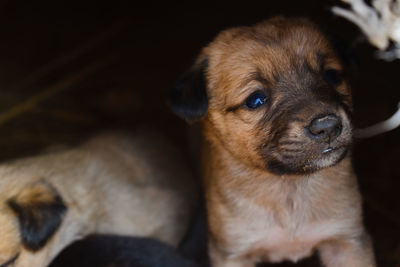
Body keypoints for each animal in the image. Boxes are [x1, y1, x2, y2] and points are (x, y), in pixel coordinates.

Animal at [170, 17, 376, 267]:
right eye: (256, 99)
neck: (287, 186)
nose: (328, 126)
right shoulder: (234, 253)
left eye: (332, 76)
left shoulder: (346, 241)